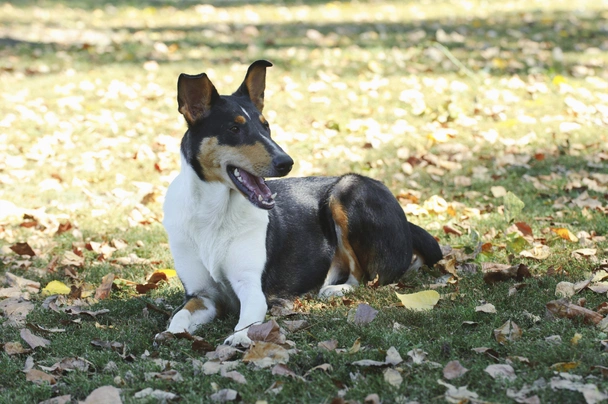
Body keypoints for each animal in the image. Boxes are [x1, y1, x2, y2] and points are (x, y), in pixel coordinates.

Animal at [157, 60, 442, 348]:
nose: (286, 162)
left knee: (369, 276)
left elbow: (247, 319)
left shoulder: (251, 287)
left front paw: (238, 337)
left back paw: (335, 289)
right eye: (234, 129)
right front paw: (171, 332)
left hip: (346, 189)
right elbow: (179, 316)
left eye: (266, 126)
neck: (213, 214)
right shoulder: (202, 295)